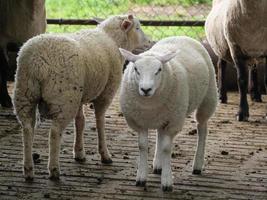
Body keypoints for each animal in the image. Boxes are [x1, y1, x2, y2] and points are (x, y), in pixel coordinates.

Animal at [13, 13, 151, 180]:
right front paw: (105, 155)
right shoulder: (105, 93)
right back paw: (54, 169)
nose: (149, 41)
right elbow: (100, 122)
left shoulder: (79, 95)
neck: (112, 39)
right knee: (54, 132)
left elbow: (80, 122)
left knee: (27, 128)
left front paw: (79, 152)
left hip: (25, 93)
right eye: (137, 27)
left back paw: (28, 169)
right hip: (63, 98)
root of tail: (37, 63)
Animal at [120, 36, 219, 192]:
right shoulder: (139, 122)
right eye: (136, 69)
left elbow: (167, 148)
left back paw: (197, 165)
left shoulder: (173, 122)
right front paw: (141, 178)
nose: (146, 89)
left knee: (202, 128)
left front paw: (167, 182)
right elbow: (142, 146)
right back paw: (157, 165)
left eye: (159, 70)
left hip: (208, 98)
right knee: (160, 133)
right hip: (164, 115)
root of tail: (182, 36)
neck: (150, 105)